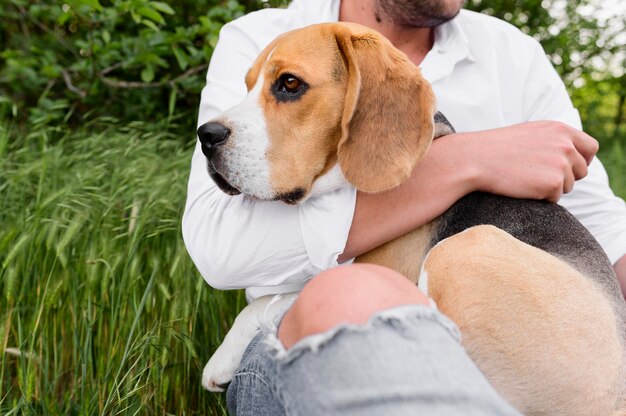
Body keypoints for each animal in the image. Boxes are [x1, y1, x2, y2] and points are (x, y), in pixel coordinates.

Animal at [195, 23, 624, 416]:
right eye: (247, 85)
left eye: (289, 83)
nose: (206, 135)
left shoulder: (388, 270)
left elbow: (294, 289)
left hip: (464, 247)